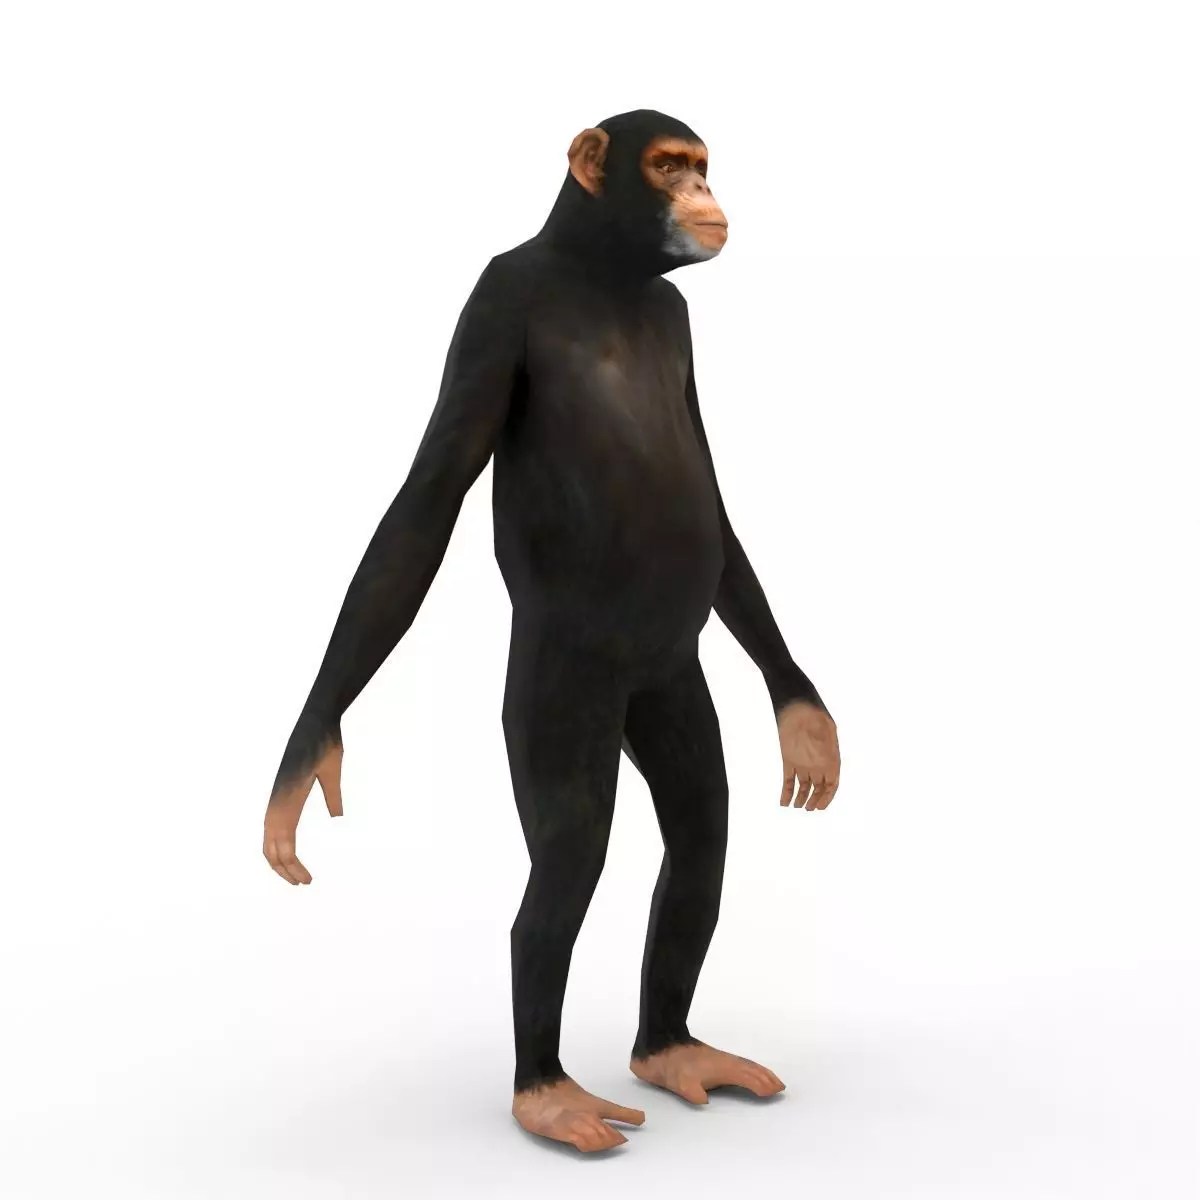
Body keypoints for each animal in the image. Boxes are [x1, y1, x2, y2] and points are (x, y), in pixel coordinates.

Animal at [262, 109, 841, 1153]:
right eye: (668, 165)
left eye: (700, 165)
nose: (702, 194)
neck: (604, 273)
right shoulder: (490, 308)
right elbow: (422, 510)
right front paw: (306, 755)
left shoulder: (678, 325)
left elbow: (716, 508)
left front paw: (805, 715)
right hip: (558, 687)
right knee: (569, 856)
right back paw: (547, 1091)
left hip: (668, 683)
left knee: (699, 829)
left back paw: (671, 1049)